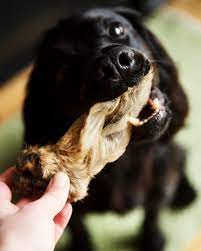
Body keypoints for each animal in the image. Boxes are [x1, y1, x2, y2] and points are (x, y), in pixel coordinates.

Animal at [23, 7, 196, 251]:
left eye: (116, 29)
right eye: (62, 70)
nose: (114, 62)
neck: (126, 158)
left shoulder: (159, 186)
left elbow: (152, 215)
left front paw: (152, 240)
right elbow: (78, 228)